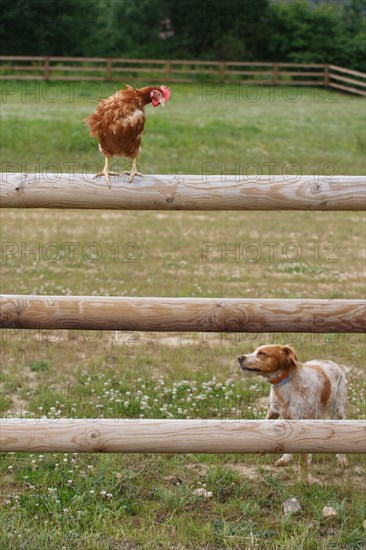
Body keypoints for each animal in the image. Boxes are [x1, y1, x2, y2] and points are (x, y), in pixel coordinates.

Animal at [237, 348, 348, 486]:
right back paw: (285, 458)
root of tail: (337, 365)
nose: (239, 358)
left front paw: (305, 480)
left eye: (262, 353)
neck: (286, 383)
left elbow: (304, 459)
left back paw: (342, 458)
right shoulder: (274, 410)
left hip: (337, 410)